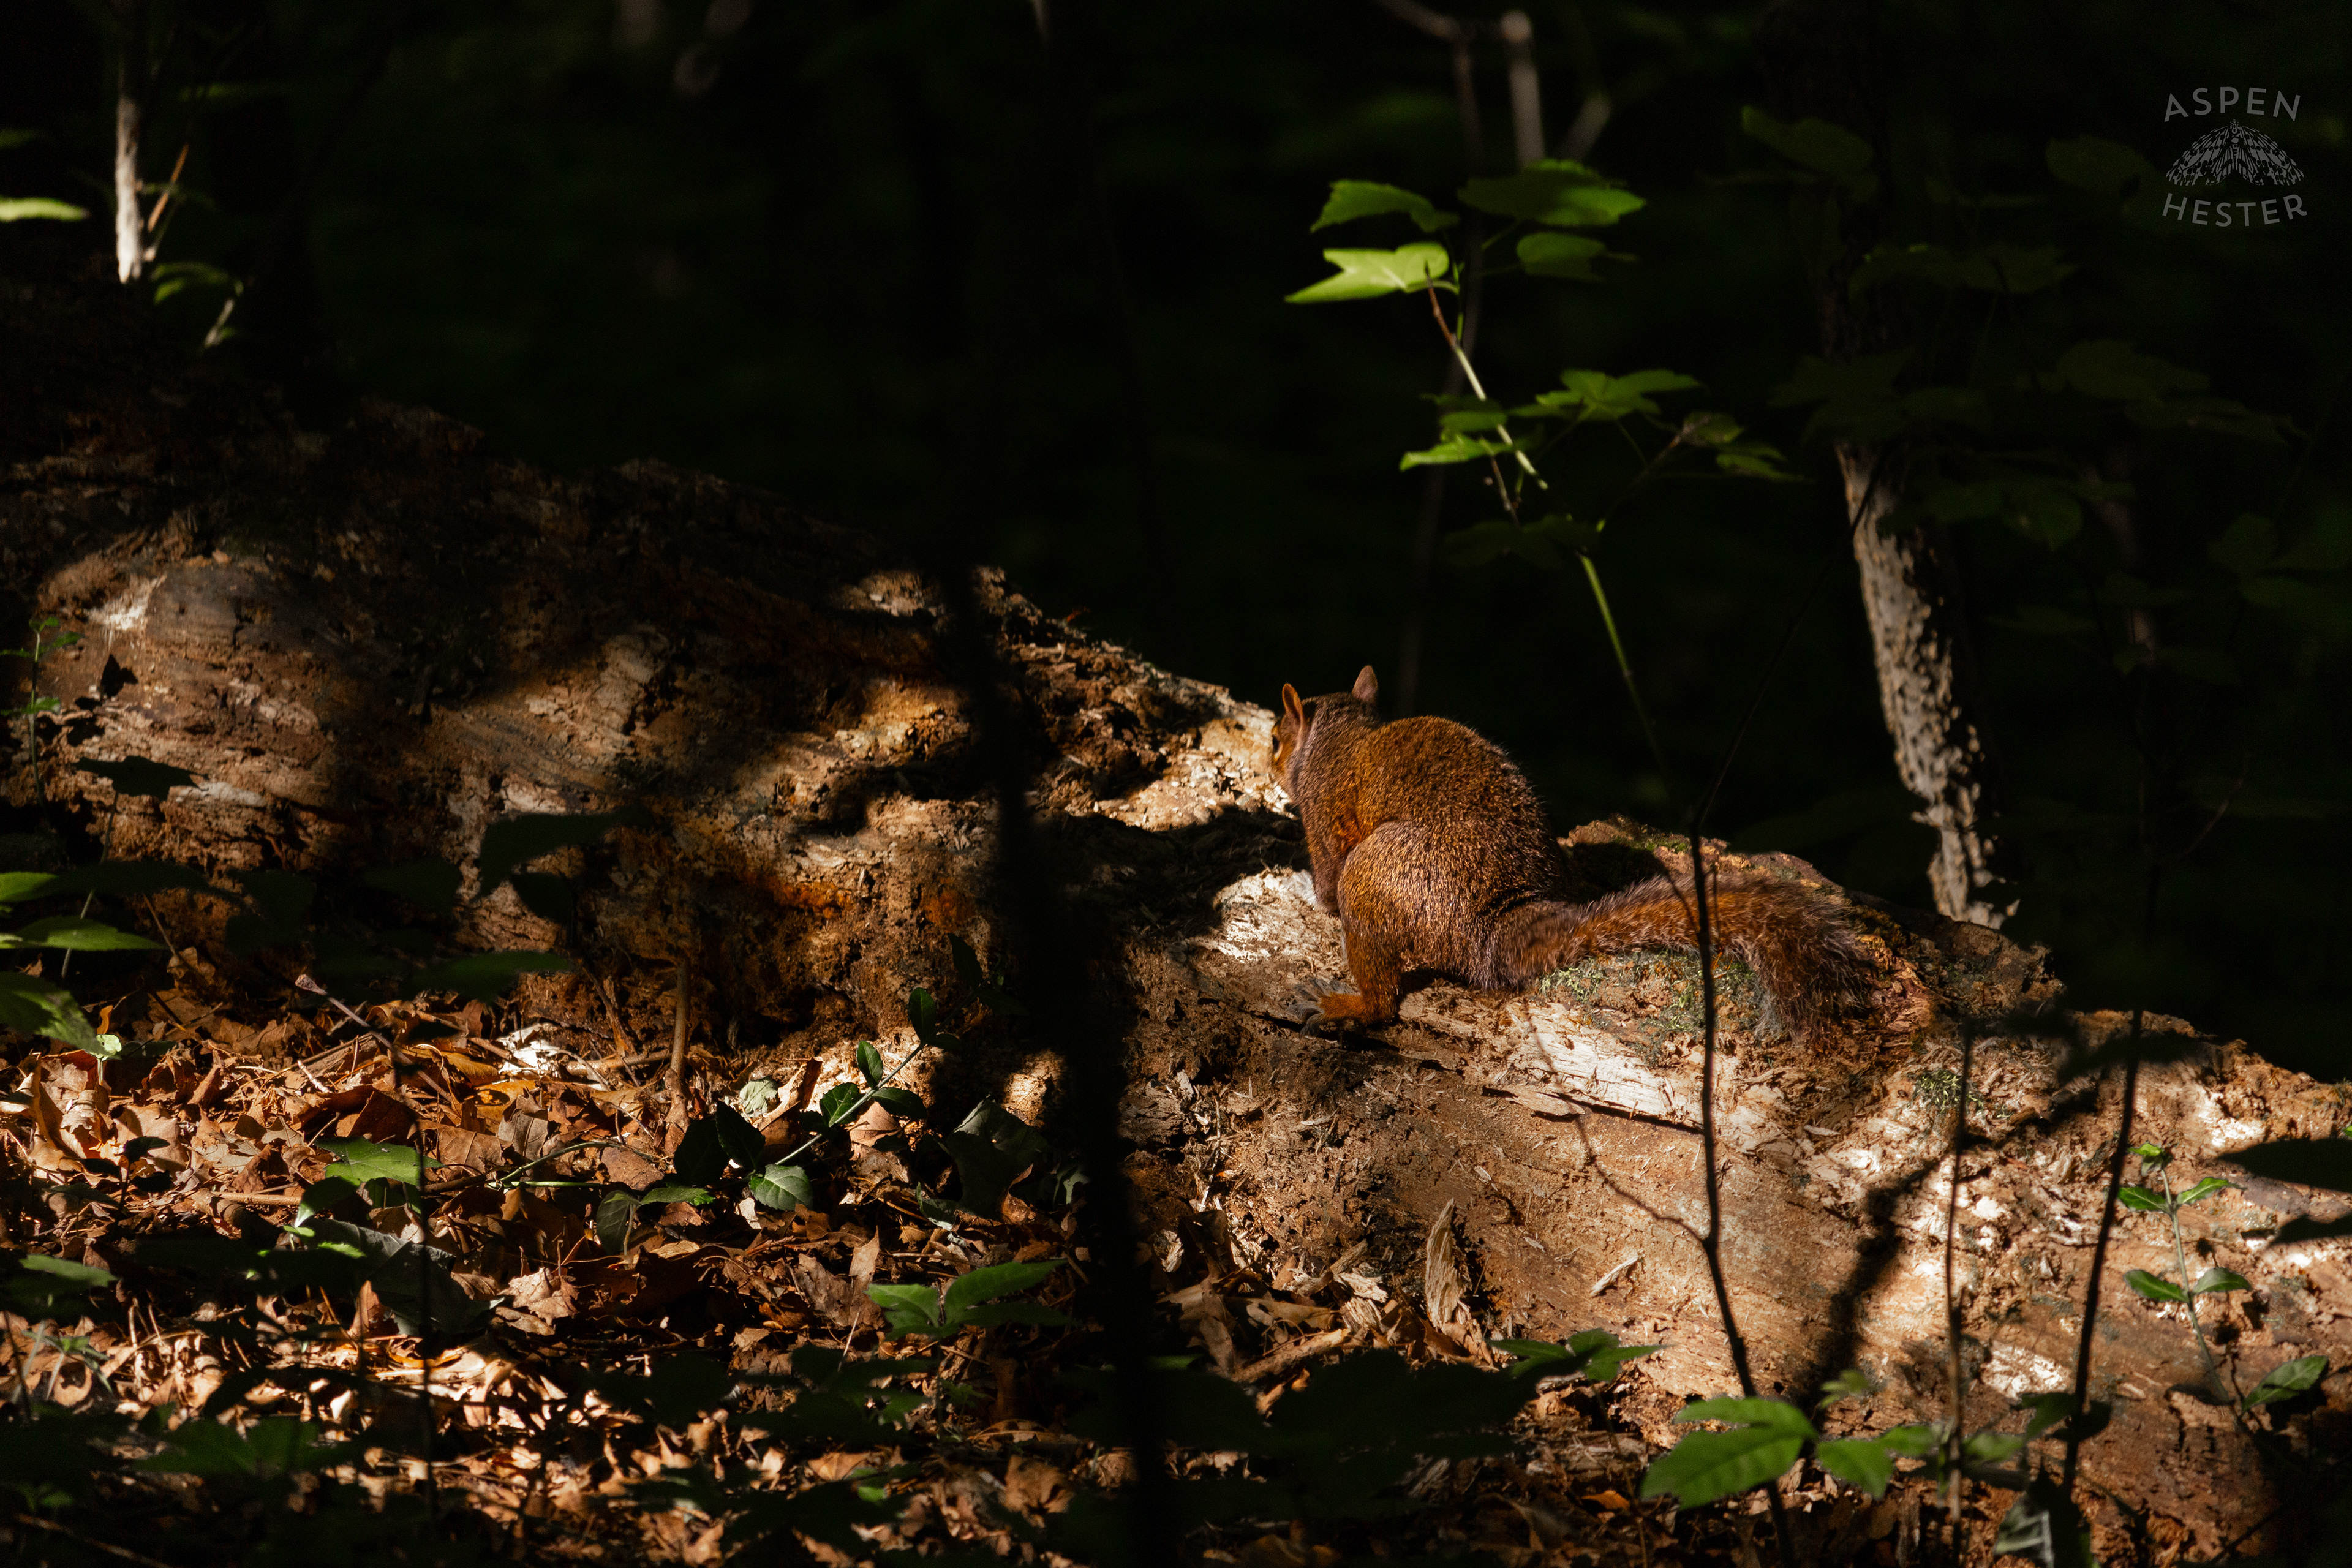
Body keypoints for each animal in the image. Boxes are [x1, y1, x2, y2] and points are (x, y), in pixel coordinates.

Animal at [1272, 665, 1873, 1037]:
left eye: (1277, 738)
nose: (1269, 759)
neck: (1338, 740)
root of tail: (1494, 929)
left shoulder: (1324, 819)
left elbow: (1326, 890)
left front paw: (1301, 882)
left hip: (1373, 874)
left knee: (1381, 998)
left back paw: (1346, 1004)